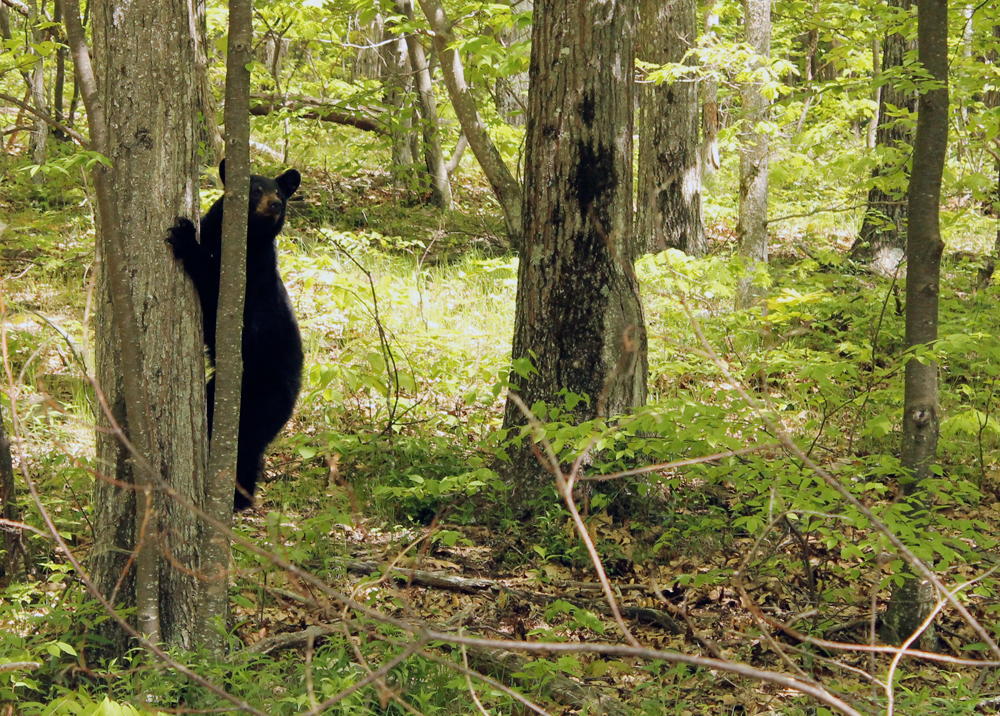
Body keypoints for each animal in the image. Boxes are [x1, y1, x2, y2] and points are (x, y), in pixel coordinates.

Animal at [167, 162, 304, 510]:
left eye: (280, 193)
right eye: (255, 190)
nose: (275, 204)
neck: (244, 244)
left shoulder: (247, 284)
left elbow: (213, 292)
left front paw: (184, 237)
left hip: (257, 397)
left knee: (245, 442)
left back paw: (238, 498)